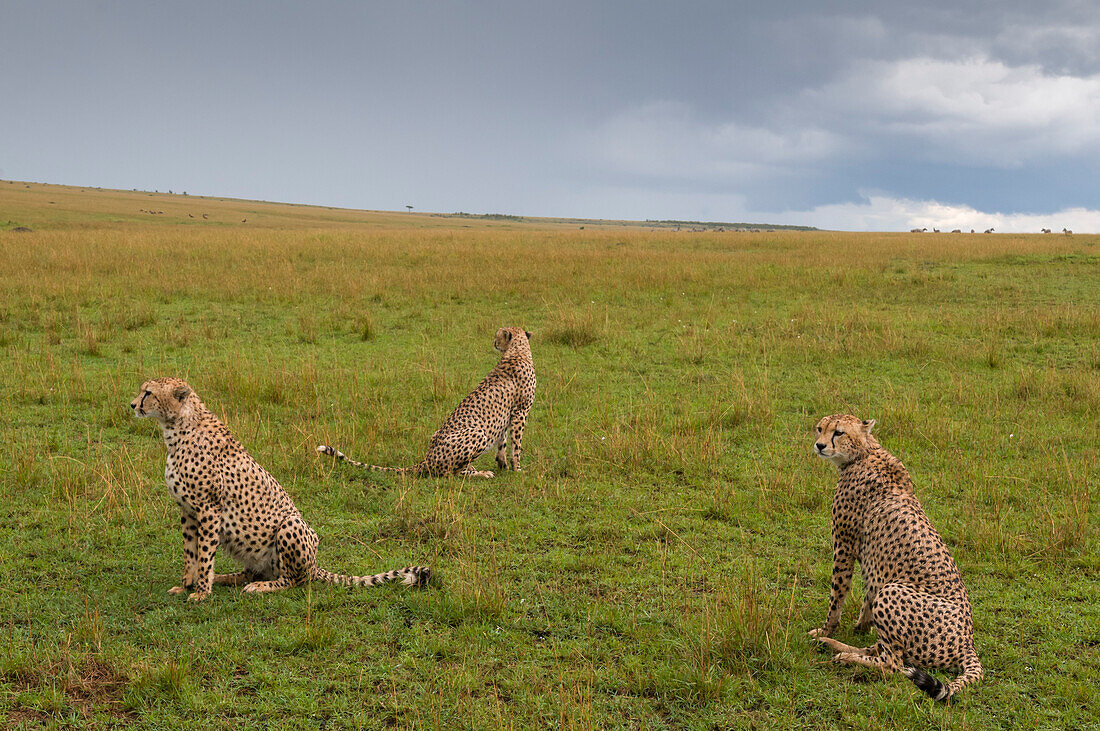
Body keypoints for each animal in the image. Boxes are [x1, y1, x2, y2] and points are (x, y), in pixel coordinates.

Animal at [133, 375, 429, 597]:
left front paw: (201, 592)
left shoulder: (208, 508)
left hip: (291, 526)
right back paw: (226, 578)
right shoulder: (187, 510)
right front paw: (187, 585)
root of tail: (315, 565)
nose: (133, 404)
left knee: (294, 580)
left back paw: (260, 586)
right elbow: (190, 553)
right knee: (250, 572)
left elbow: (204, 554)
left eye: (148, 392)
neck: (177, 427)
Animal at [319, 325, 536, 479]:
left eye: (498, 335)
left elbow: (503, 443)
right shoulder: (521, 411)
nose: (494, 342)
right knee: (449, 473)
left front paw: (503, 465)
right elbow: (516, 444)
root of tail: (427, 458)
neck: (518, 350)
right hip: (478, 433)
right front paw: (517, 469)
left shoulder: (509, 414)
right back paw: (480, 474)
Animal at [809, 413, 981, 699]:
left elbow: (838, 593)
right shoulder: (871, 565)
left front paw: (826, 627)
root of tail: (968, 641)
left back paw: (843, 655)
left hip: (893, 590)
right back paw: (836, 646)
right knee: (885, 652)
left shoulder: (844, 544)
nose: (820, 445)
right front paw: (859, 626)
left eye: (839, 432)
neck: (864, 452)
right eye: (820, 429)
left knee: (892, 664)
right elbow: (867, 596)